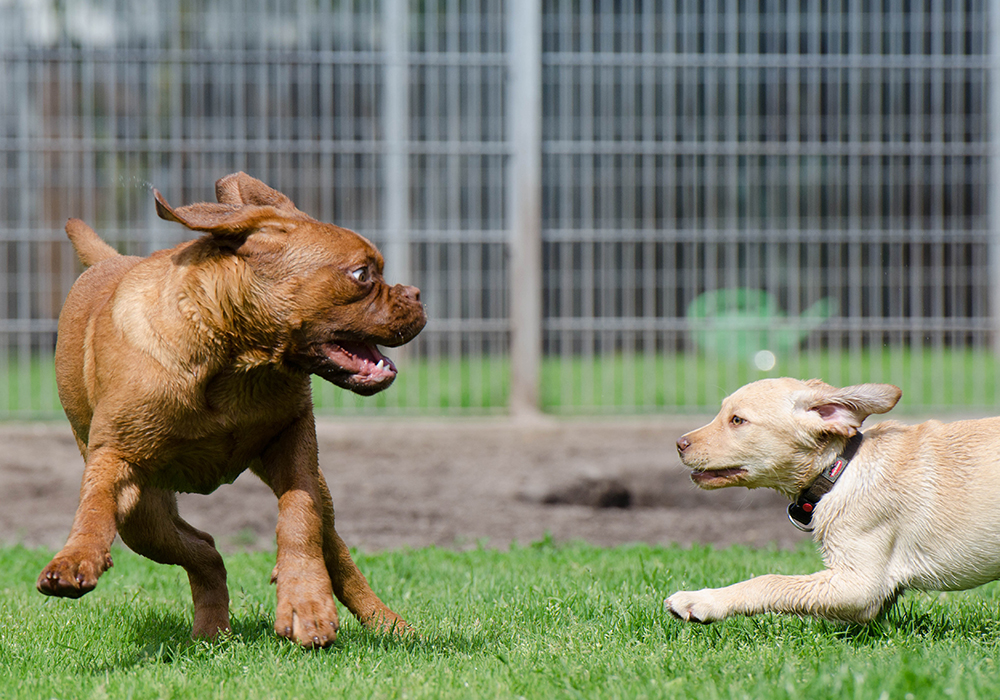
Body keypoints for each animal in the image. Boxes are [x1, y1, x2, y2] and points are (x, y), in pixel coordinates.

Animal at [39, 172, 426, 648]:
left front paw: (305, 602)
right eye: (362, 274)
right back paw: (211, 629)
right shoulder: (115, 459)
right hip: (144, 517)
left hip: (315, 494)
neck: (234, 359)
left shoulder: (295, 444)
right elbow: (93, 508)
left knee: (331, 549)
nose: (416, 294)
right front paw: (75, 557)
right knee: (203, 548)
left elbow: (299, 519)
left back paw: (385, 622)